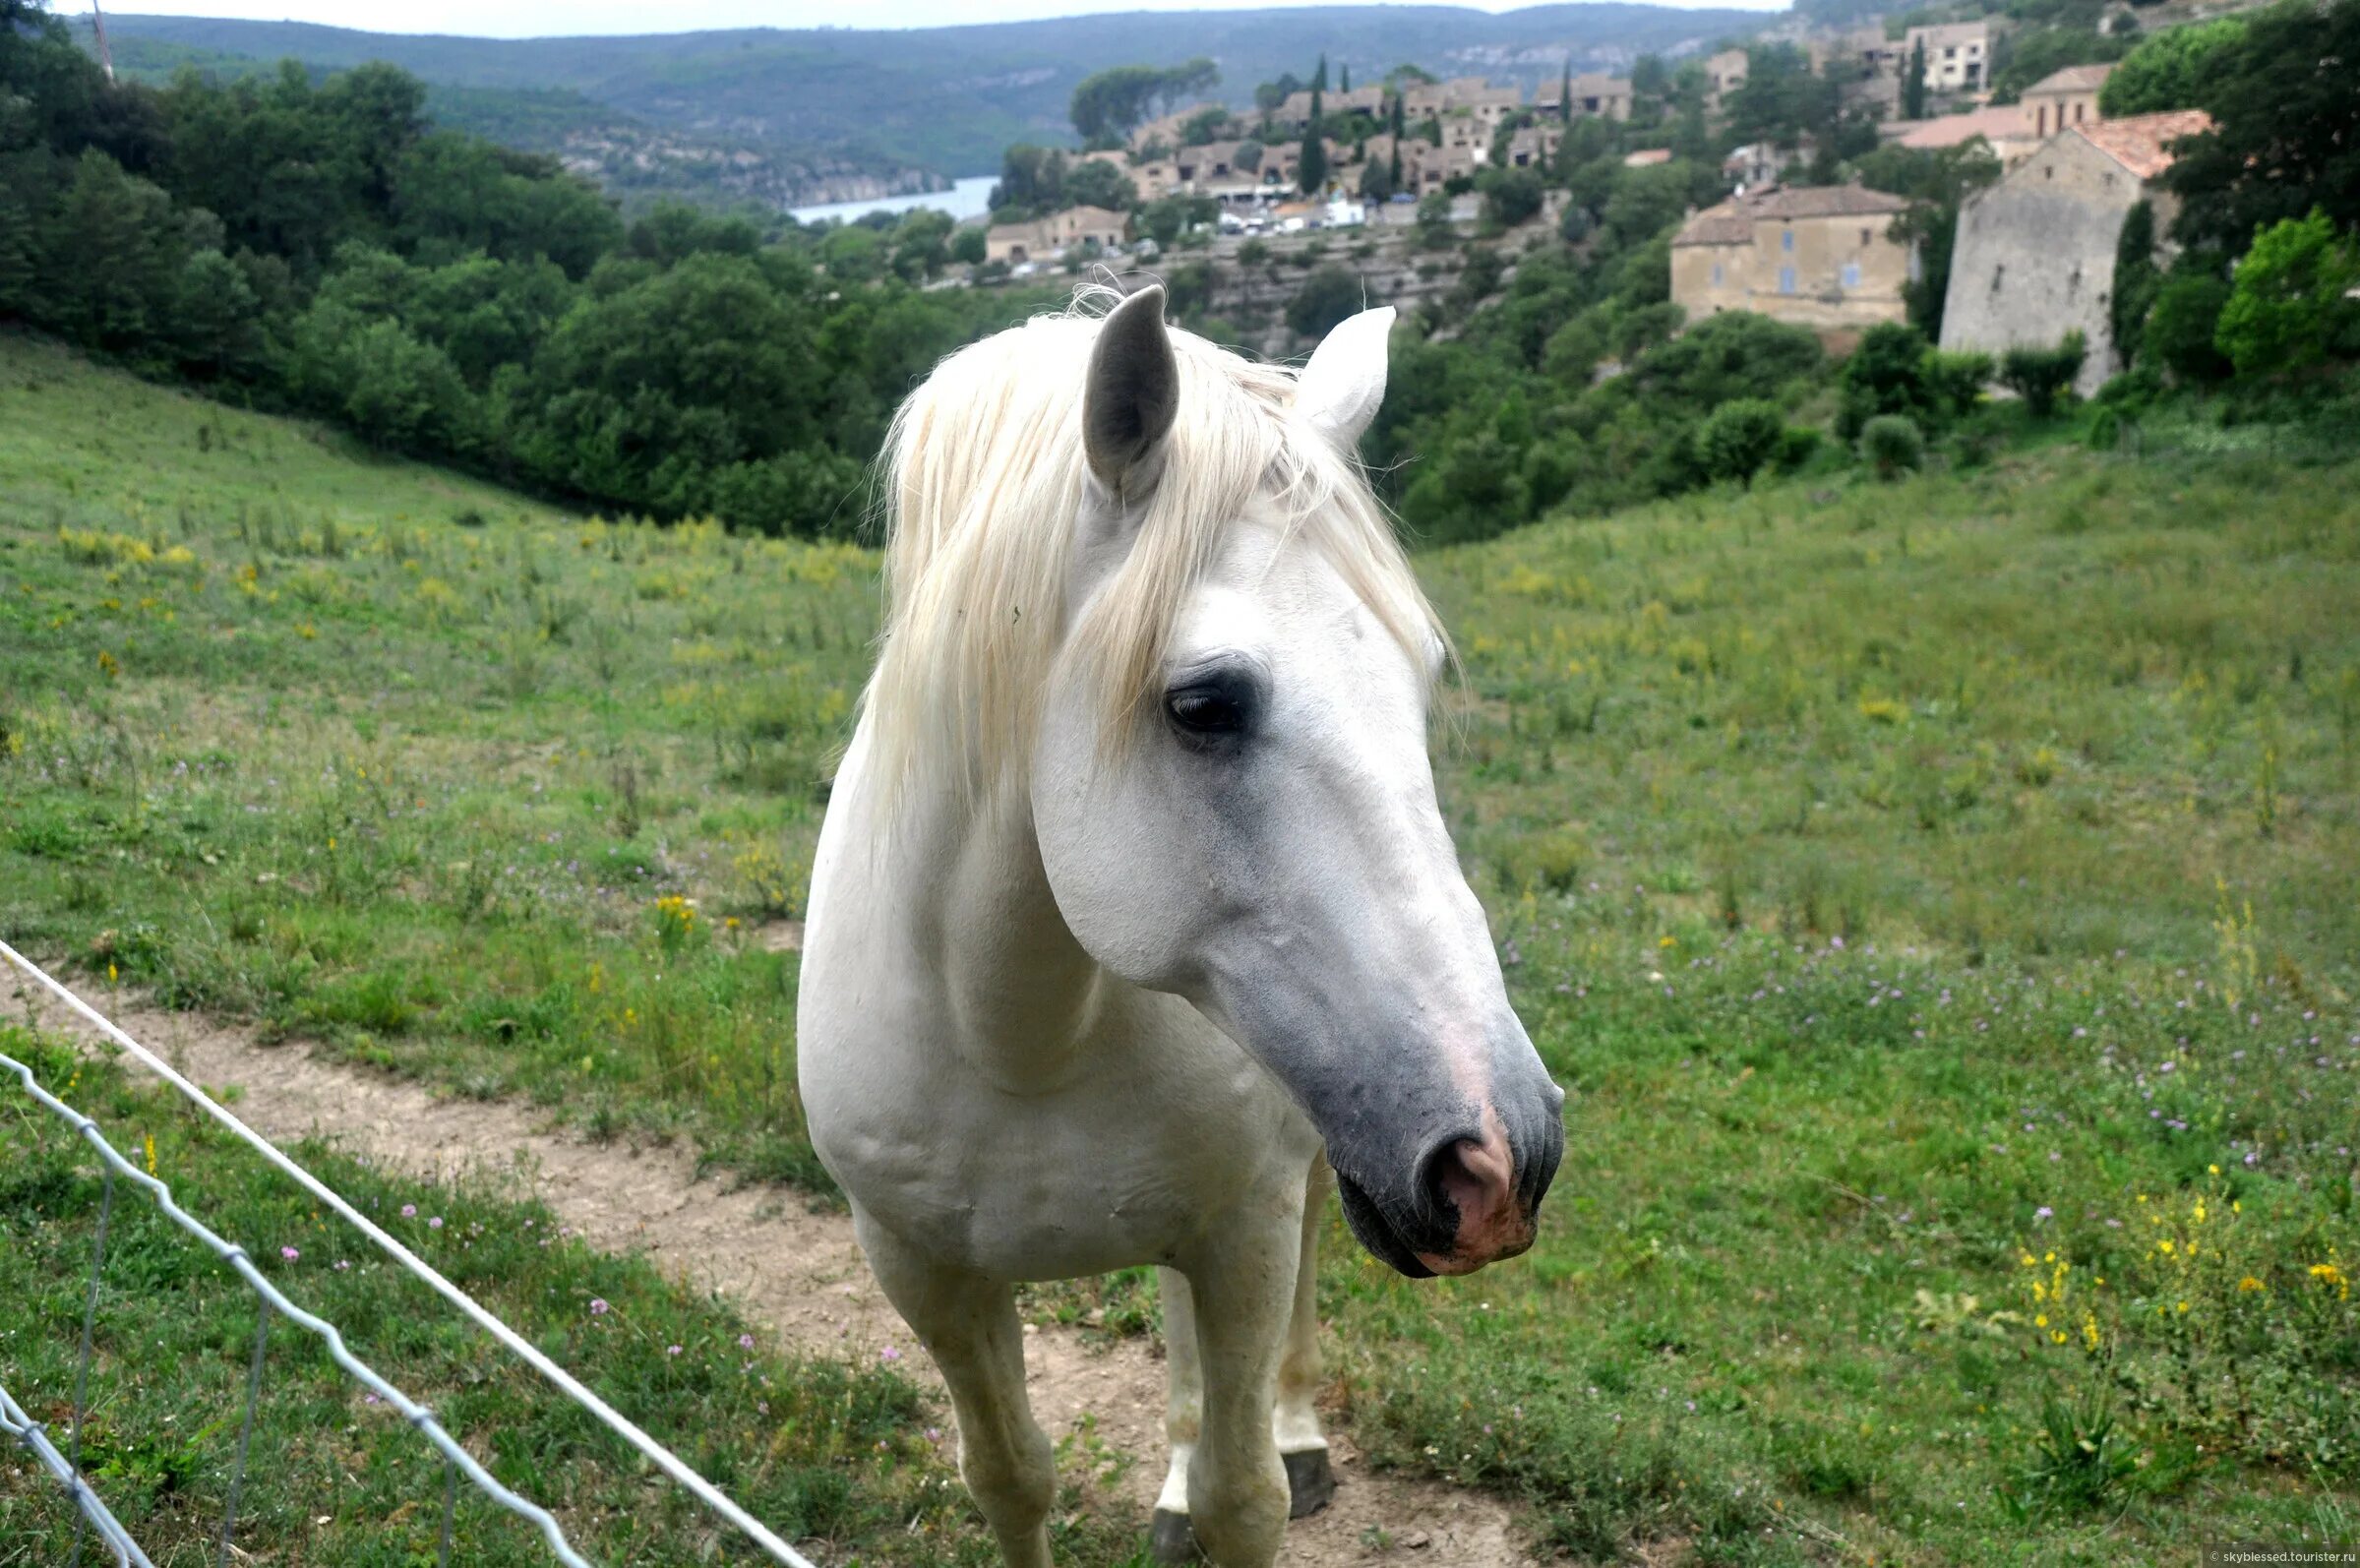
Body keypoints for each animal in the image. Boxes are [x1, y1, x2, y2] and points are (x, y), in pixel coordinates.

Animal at [797, 290, 1566, 1568]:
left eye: (1418, 679)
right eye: (1201, 705)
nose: (1503, 1156)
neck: (1016, 1037)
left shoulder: (1241, 1233)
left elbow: (1242, 1496)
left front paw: (1268, 1458)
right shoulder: (920, 1268)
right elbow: (1008, 1475)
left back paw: (1297, 1429)